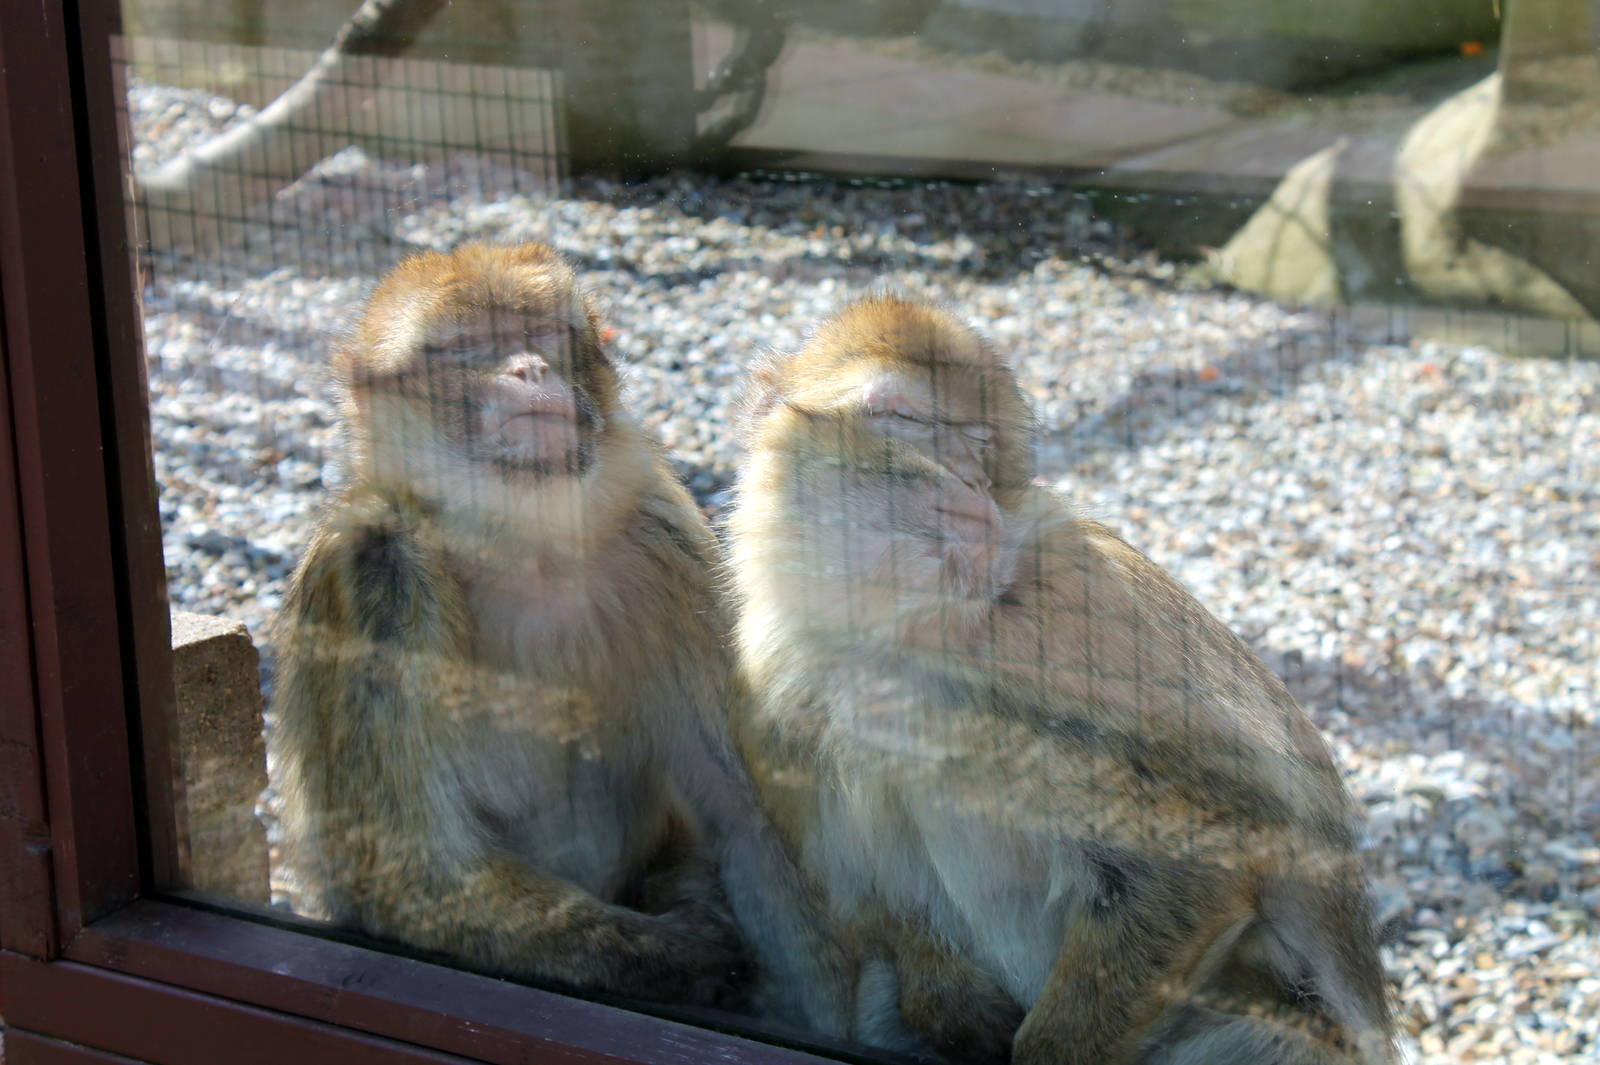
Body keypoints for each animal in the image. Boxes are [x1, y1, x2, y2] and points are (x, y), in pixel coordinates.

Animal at [272, 243, 851, 1023]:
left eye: (541, 332)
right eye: (469, 346)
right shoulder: (375, 572)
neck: (526, 546)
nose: (529, 368)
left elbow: (747, 821)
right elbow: (415, 871)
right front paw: (687, 954)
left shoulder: (669, 543)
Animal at [725, 295, 1396, 1065]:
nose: (965, 483)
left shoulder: (1072, 624)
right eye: (901, 418)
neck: (899, 640)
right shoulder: (772, 689)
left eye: (977, 444)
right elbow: (879, 898)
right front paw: (949, 1007)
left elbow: (1207, 851)